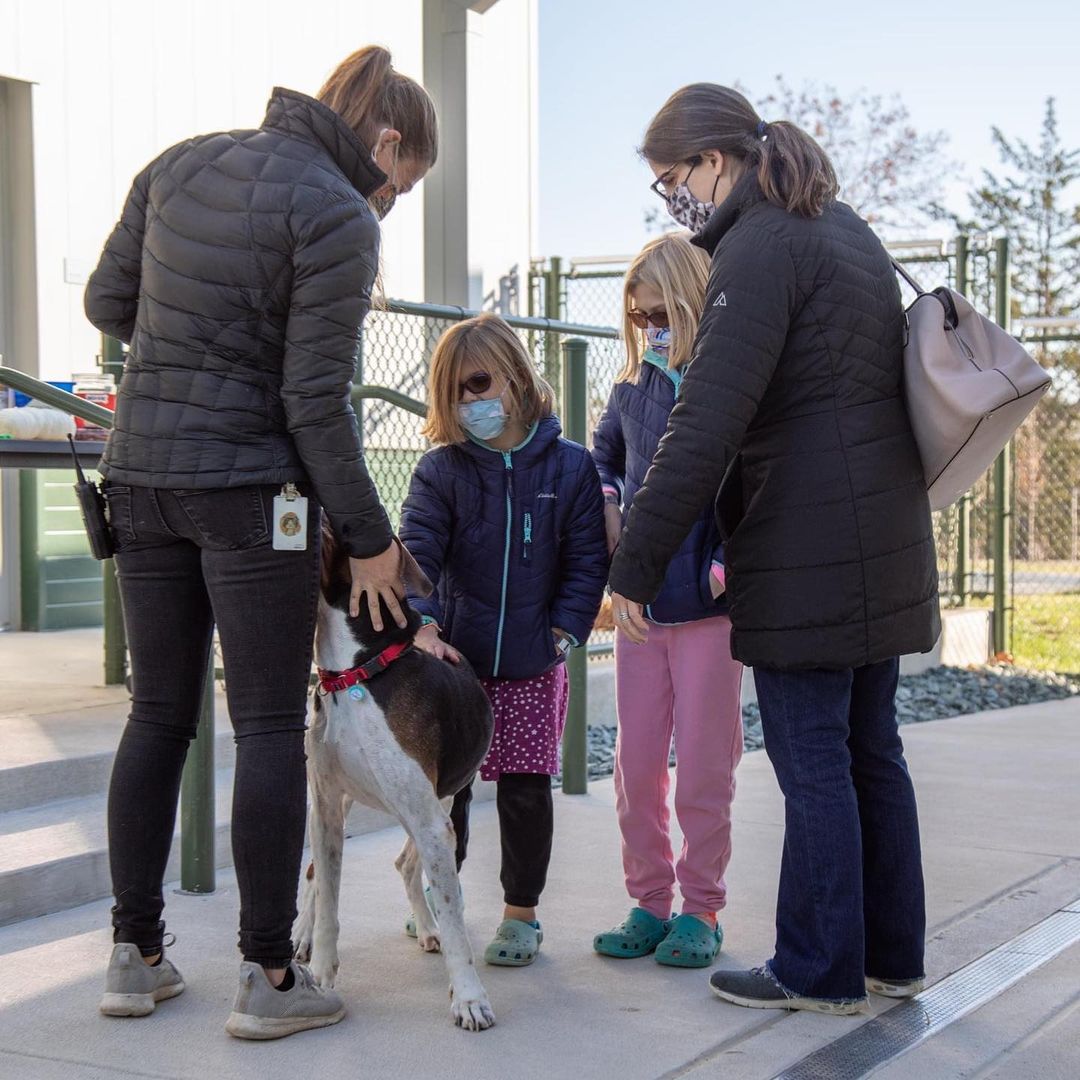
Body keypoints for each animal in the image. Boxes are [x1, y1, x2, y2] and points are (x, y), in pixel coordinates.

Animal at [295, 529, 496, 1028]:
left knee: (407, 863)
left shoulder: (431, 821)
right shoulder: (326, 807)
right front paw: (322, 975)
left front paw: (468, 997)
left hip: (441, 804)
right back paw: (302, 934)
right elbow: (328, 899)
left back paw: (426, 927)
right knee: (313, 874)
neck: (355, 674)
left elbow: (453, 912)